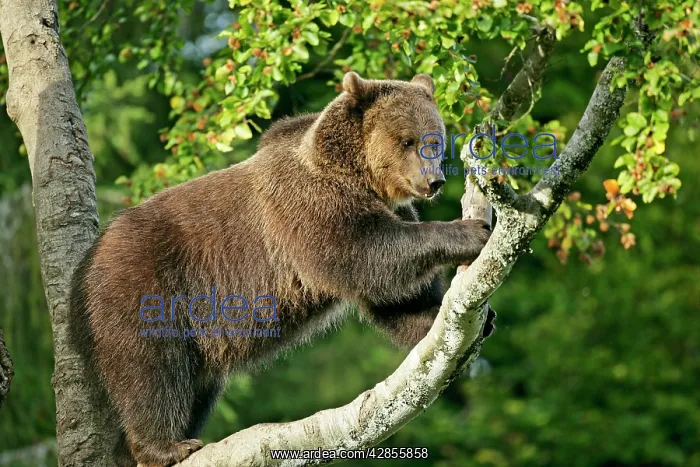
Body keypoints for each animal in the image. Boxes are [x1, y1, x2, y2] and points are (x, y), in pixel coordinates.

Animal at [69, 71, 492, 466]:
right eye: (408, 140)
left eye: (435, 141)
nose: (433, 181)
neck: (357, 176)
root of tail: (87, 261)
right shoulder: (306, 206)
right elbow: (365, 254)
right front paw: (470, 231)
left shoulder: (381, 206)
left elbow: (395, 297)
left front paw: (459, 318)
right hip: (145, 284)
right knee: (151, 368)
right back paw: (166, 446)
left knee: (195, 384)